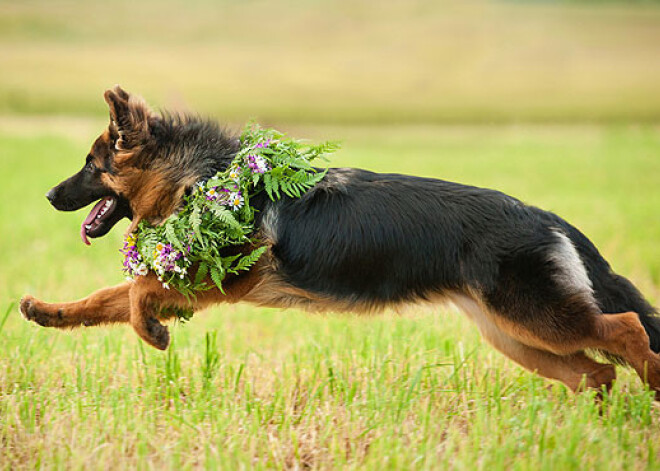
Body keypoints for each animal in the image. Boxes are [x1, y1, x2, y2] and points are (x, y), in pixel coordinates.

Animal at [18, 86, 660, 396]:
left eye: (90, 165)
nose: (46, 195)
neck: (203, 176)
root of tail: (543, 215)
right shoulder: (193, 279)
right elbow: (104, 298)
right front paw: (46, 312)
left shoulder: (218, 283)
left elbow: (134, 294)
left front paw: (150, 332)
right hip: (516, 335)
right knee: (599, 373)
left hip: (537, 319)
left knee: (628, 329)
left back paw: (651, 389)